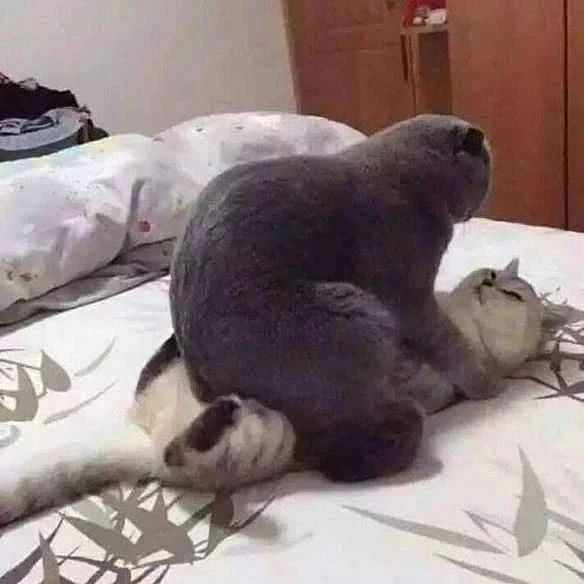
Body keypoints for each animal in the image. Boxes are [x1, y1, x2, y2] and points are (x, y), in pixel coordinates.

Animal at [0, 262, 544, 527]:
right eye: (494, 278)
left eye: (514, 293)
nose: (490, 279)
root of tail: (142, 437)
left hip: (264, 440)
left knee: (184, 454)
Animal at [169, 114, 494, 482]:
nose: (477, 206)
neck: (414, 180)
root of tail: (202, 383)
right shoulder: (407, 294)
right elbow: (446, 340)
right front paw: (485, 382)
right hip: (356, 313)